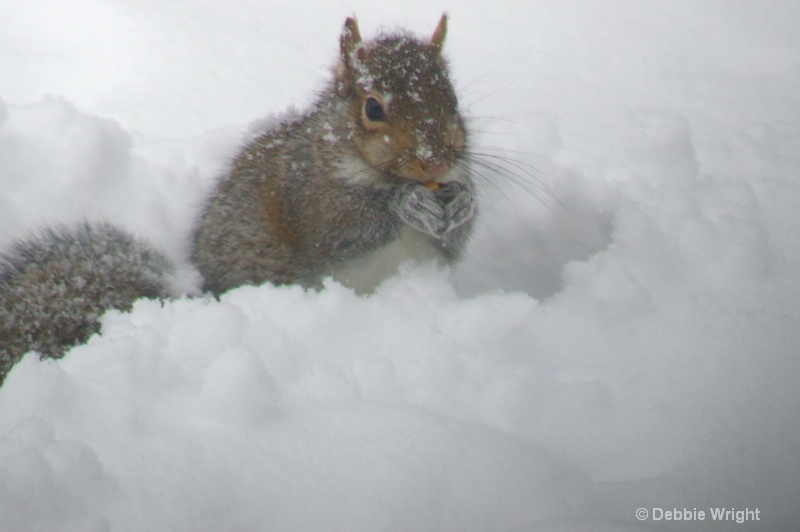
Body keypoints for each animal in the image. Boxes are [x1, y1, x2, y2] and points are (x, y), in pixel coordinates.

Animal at [0, 14, 476, 384]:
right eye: (373, 108)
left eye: (454, 102)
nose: (434, 163)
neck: (374, 170)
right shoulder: (307, 193)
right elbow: (343, 228)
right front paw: (407, 203)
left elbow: (455, 238)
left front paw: (465, 203)